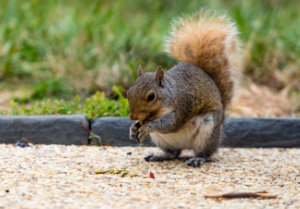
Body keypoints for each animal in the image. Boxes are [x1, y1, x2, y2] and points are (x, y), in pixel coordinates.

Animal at [126, 9, 241, 167]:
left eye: (151, 96)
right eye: (128, 92)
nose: (132, 116)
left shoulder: (183, 104)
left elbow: (171, 124)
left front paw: (147, 127)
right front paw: (132, 129)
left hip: (208, 133)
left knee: (205, 153)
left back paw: (198, 158)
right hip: (162, 140)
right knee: (173, 153)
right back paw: (159, 155)